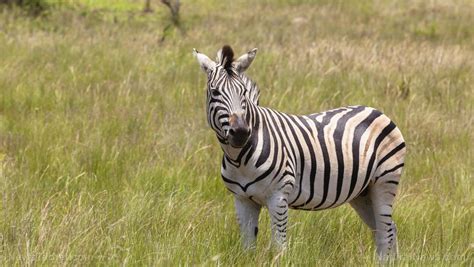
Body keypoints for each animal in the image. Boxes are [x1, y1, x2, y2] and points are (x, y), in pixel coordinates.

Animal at [193, 45, 408, 260]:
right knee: (387, 229)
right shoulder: (242, 200)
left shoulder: (278, 197)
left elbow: (279, 248)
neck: (239, 159)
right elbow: (247, 248)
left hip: (385, 181)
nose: (240, 133)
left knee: (386, 231)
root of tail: (377, 111)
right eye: (214, 92)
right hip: (362, 192)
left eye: (244, 92)